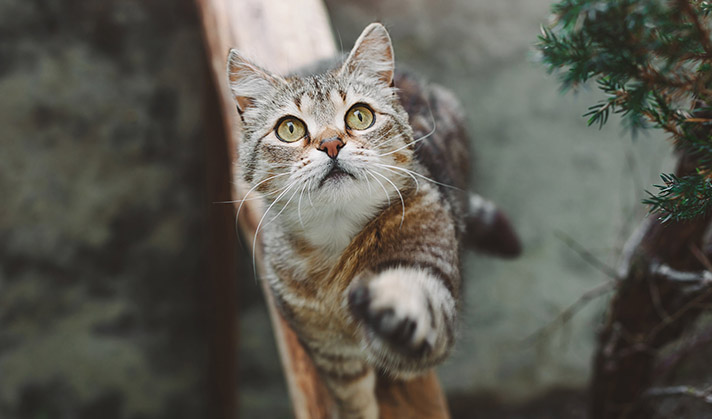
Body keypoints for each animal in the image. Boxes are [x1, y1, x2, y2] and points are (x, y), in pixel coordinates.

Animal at [229, 23, 524, 419]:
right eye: (289, 128)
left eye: (359, 115)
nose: (331, 144)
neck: (336, 241)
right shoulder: (329, 351)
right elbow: (352, 398)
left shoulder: (431, 270)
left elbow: (419, 309)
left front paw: (394, 302)